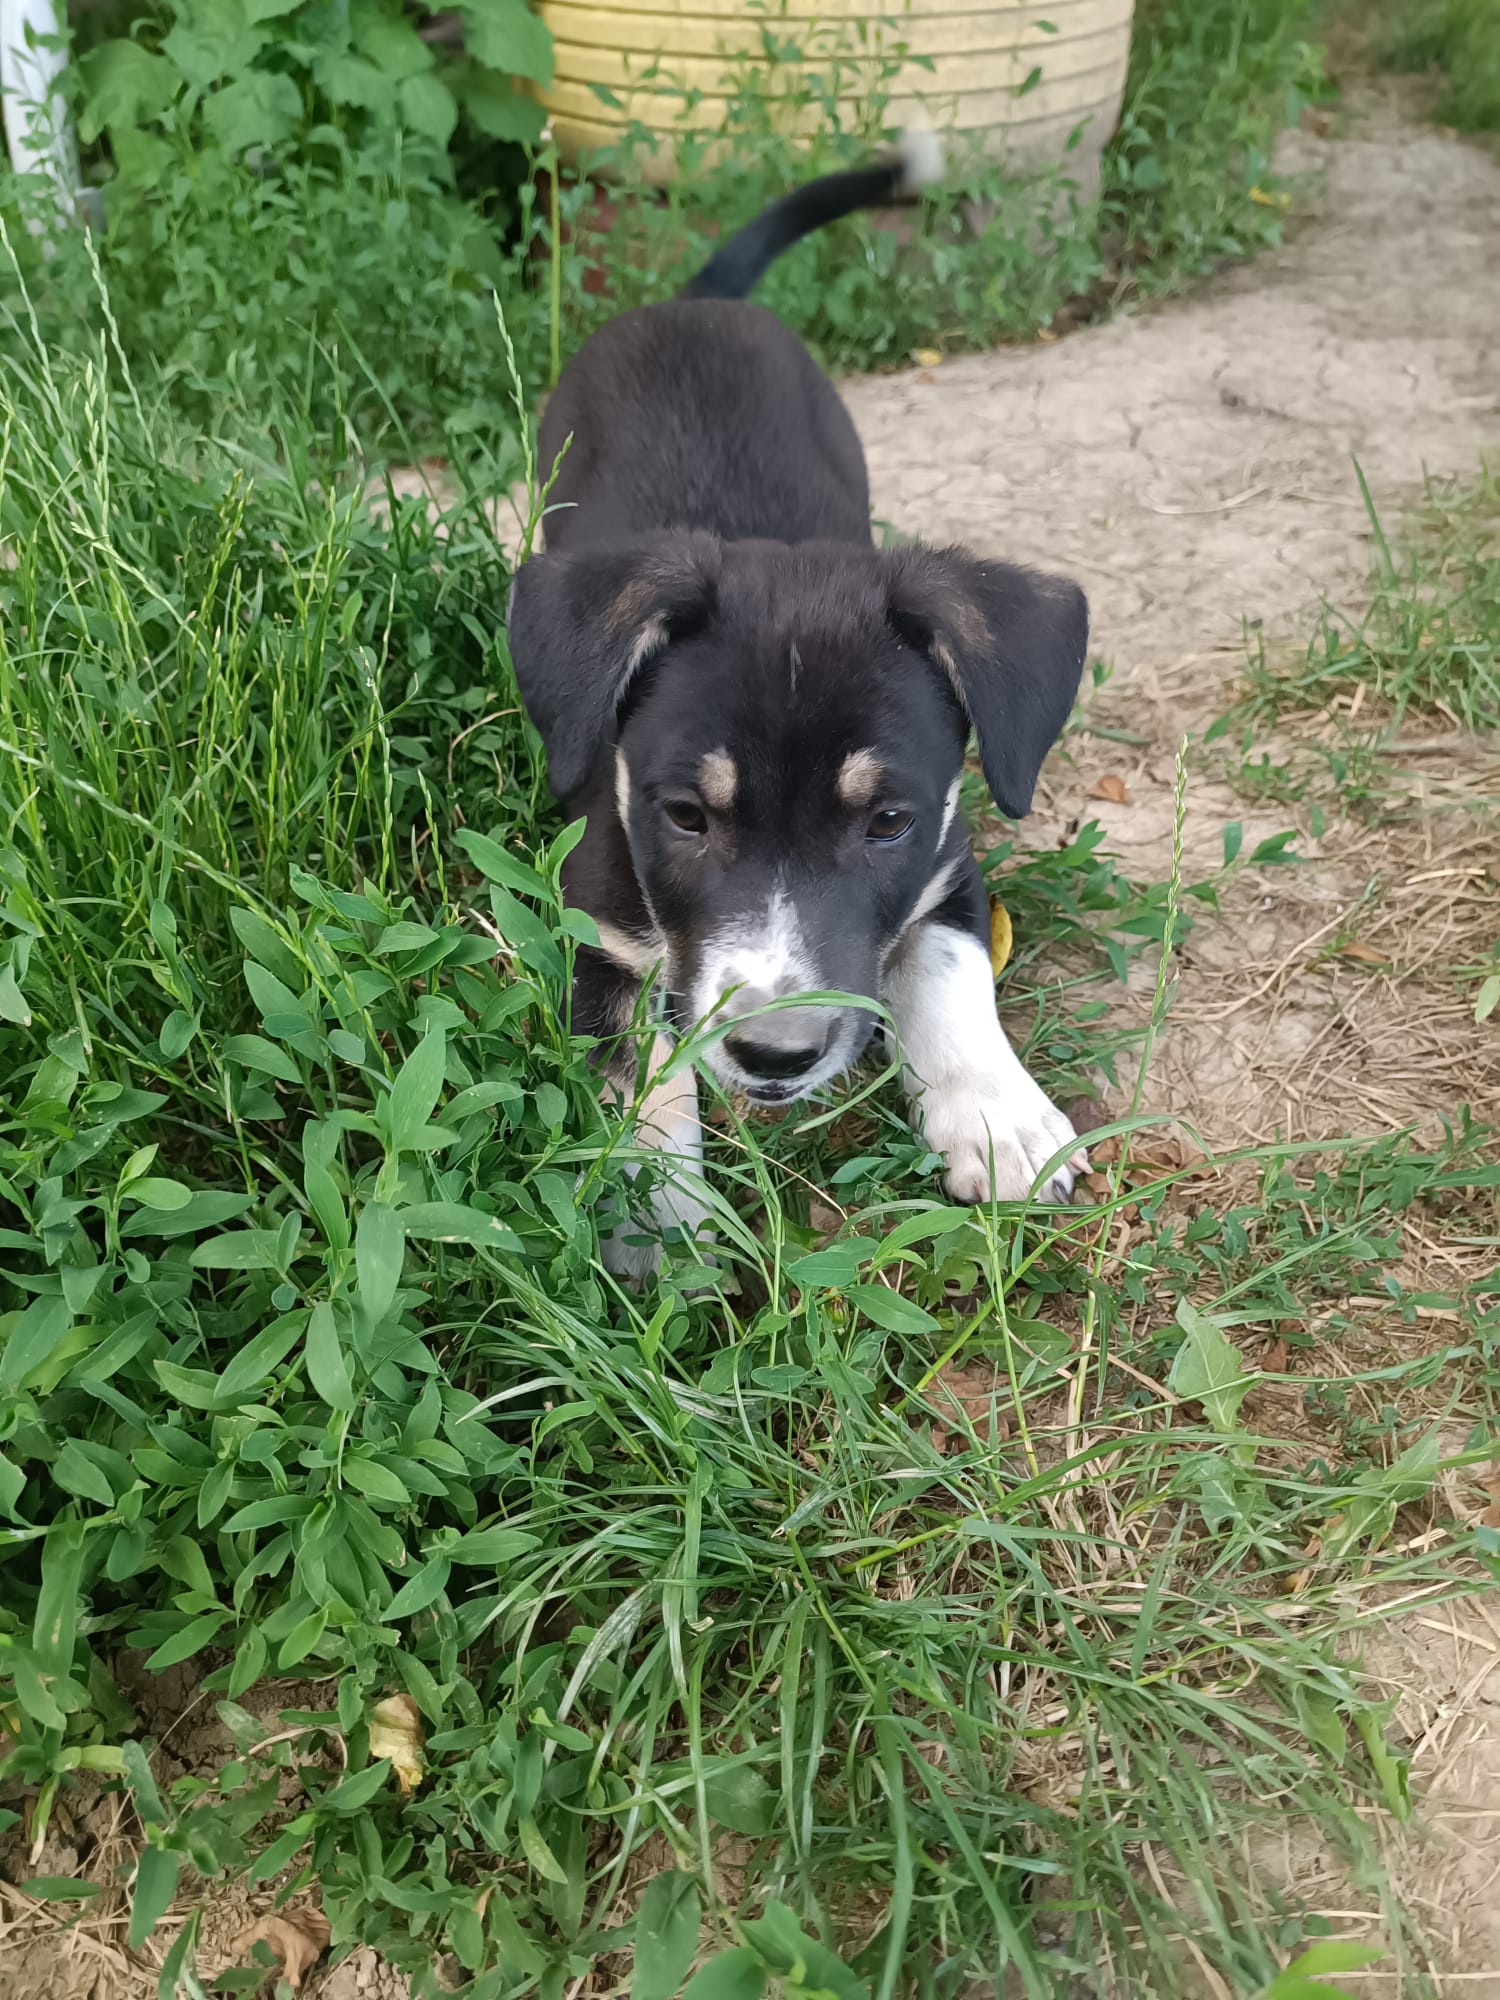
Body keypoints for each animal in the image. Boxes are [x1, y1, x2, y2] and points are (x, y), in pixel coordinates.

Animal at [507, 135, 1090, 1275]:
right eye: (684, 816)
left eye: (888, 821)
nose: (775, 1056)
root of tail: (698, 302)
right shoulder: (594, 923)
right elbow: (638, 1080)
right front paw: (659, 1212)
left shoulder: (950, 861)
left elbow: (951, 970)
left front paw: (999, 1118)